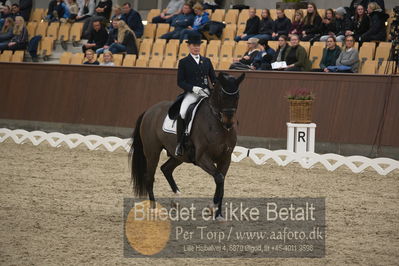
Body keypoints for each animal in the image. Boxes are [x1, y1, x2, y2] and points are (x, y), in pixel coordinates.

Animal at [130, 71, 245, 219]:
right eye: (221, 94)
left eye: (237, 96)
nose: (228, 123)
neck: (218, 124)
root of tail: (149, 111)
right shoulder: (202, 158)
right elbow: (219, 178)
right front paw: (213, 208)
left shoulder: (225, 158)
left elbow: (221, 181)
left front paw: (217, 212)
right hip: (152, 152)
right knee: (149, 177)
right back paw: (154, 208)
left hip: (179, 156)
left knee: (166, 169)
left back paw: (177, 198)